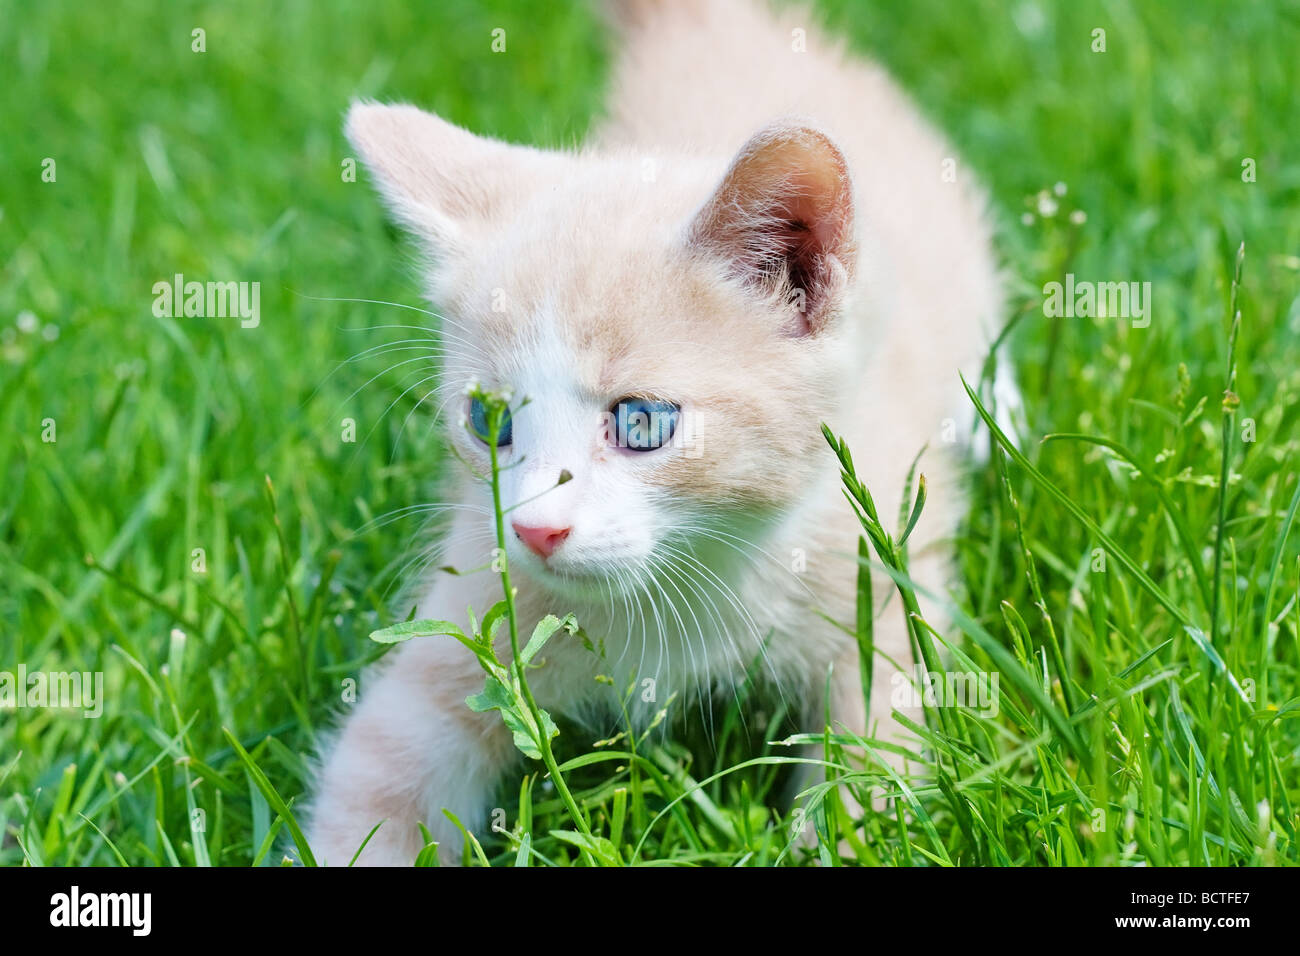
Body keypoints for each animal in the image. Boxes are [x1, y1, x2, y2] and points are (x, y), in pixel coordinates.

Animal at [306, 0, 1003, 868]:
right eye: (489, 422)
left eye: (641, 423)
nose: (535, 529)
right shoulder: (474, 613)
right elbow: (380, 782)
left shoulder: (877, 583)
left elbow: (874, 767)